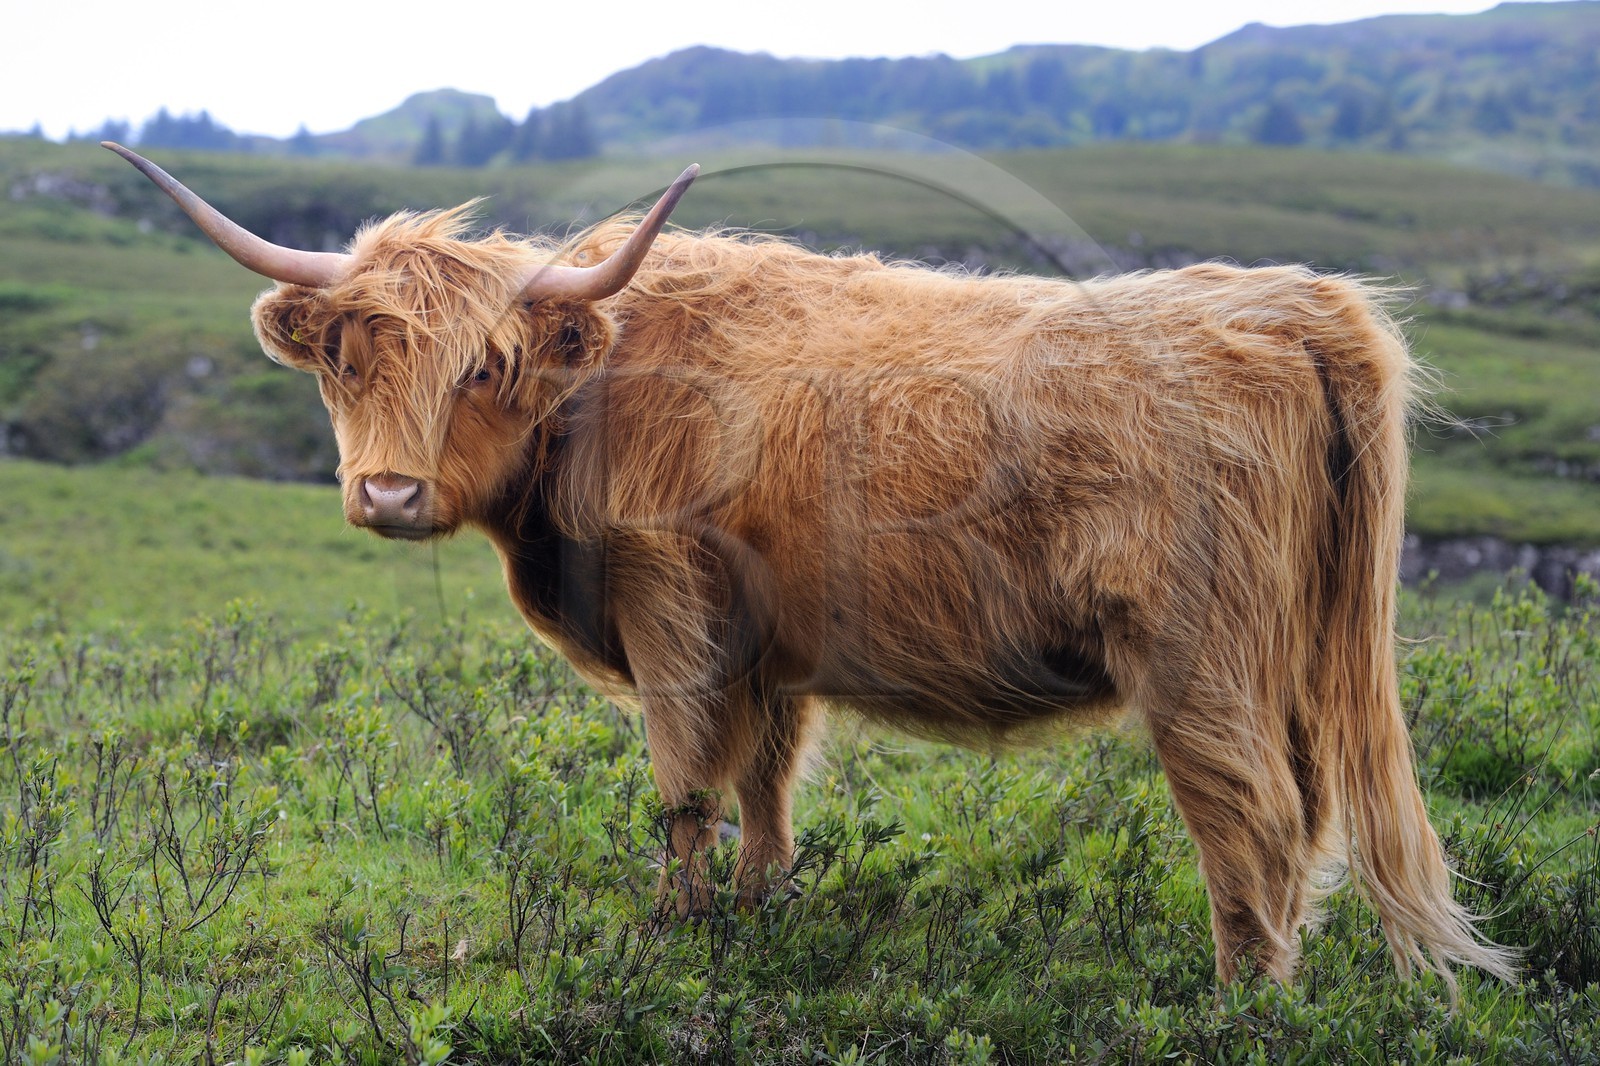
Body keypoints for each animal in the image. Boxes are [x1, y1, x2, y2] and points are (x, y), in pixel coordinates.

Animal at [106, 142, 1515, 990]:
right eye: (348, 356)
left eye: (487, 368)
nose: (387, 492)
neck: (596, 398)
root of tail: (1292, 302)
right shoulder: (767, 651)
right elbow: (766, 792)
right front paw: (755, 918)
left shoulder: (671, 614)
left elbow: (683, 784)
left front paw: (670, 937)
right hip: (1299, 651)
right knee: (1307, 811)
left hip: (1199, 656)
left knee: (1251, 819)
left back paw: (1240, 1003)